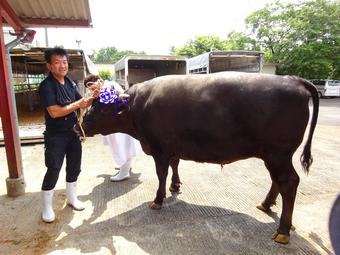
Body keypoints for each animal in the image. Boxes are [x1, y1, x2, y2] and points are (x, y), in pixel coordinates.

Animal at [76, 71, 318, 243]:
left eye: (101, 108)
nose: (77, 127)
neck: (138, 106)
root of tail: (292, 79)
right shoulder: (172, 147)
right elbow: (174, 165)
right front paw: (175, 186)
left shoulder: (159, 149)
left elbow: (161, 173)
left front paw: (158, 199)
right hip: (275, 156)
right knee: (279, 181)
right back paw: (266, 205)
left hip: (278, 154)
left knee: (288, 182)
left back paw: (283, 230)